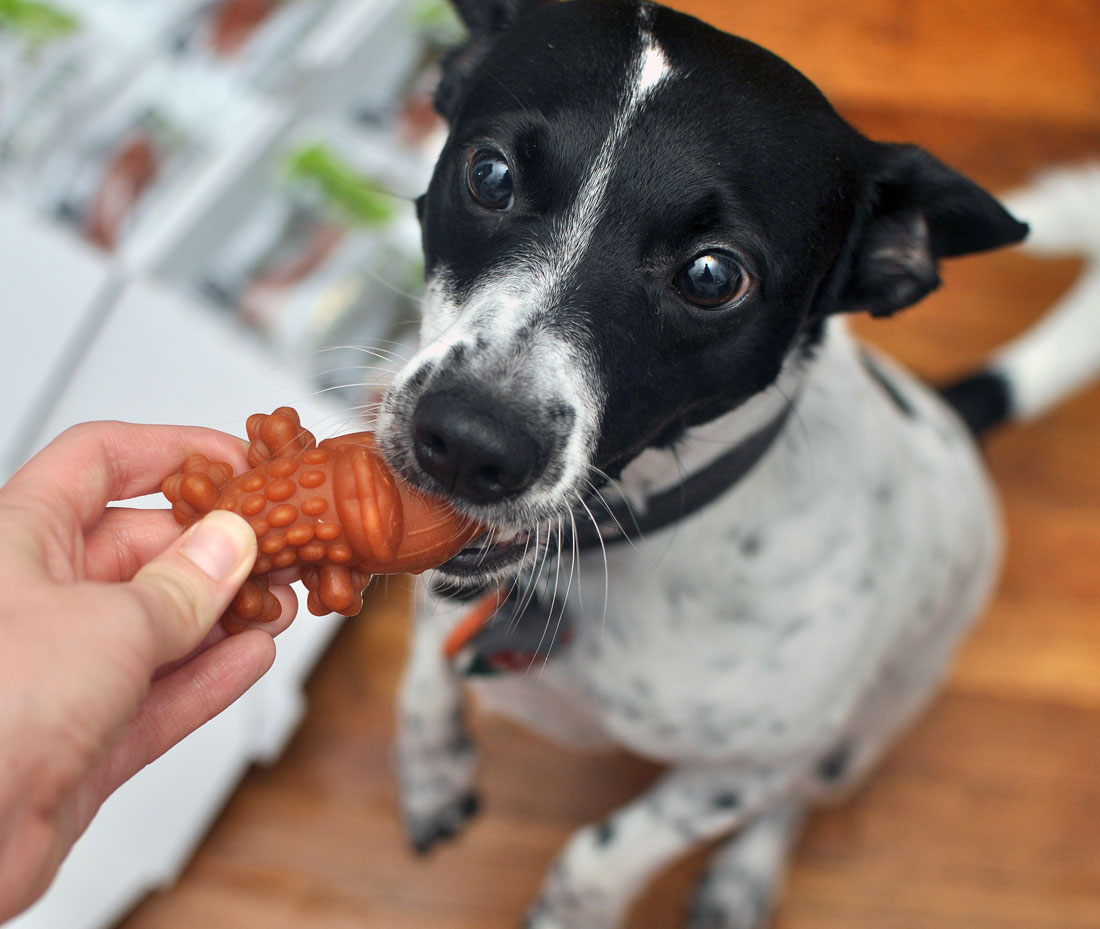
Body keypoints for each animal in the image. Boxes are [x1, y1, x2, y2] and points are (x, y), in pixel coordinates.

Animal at [371, 3, 1100, 923]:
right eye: (491, 174)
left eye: (714, 275)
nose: (466, 445)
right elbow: (420, 670)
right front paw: (432, 764)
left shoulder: (744, 769)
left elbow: (598, 854)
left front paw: (574, 908)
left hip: (867, 721)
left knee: (799, 798)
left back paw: (744, 876)